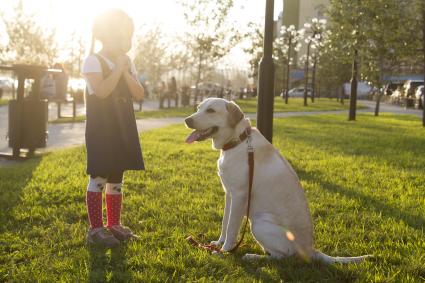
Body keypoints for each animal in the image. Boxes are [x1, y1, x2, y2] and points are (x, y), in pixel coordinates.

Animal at [184, 98, 370, 264]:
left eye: (211, 110)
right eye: (199, 108)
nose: (187, 120)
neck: (239, 140)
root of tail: (310, 250)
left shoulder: (239, 196)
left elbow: (231, 228)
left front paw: (224, 251)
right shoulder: (229, 194)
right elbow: (225, 223)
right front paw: (218, 243)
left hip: (259, 223)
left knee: (283, 256)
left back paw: (254, 257)